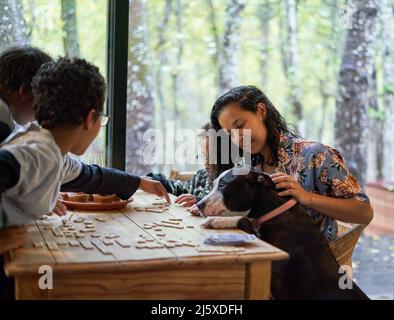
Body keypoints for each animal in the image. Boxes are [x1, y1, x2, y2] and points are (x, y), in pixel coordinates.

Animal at [194, 168, 370, 300]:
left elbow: (243, 220)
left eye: (223, 185)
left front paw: (217, 220)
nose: (200, 204)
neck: (277, 210)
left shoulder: (274, 267)